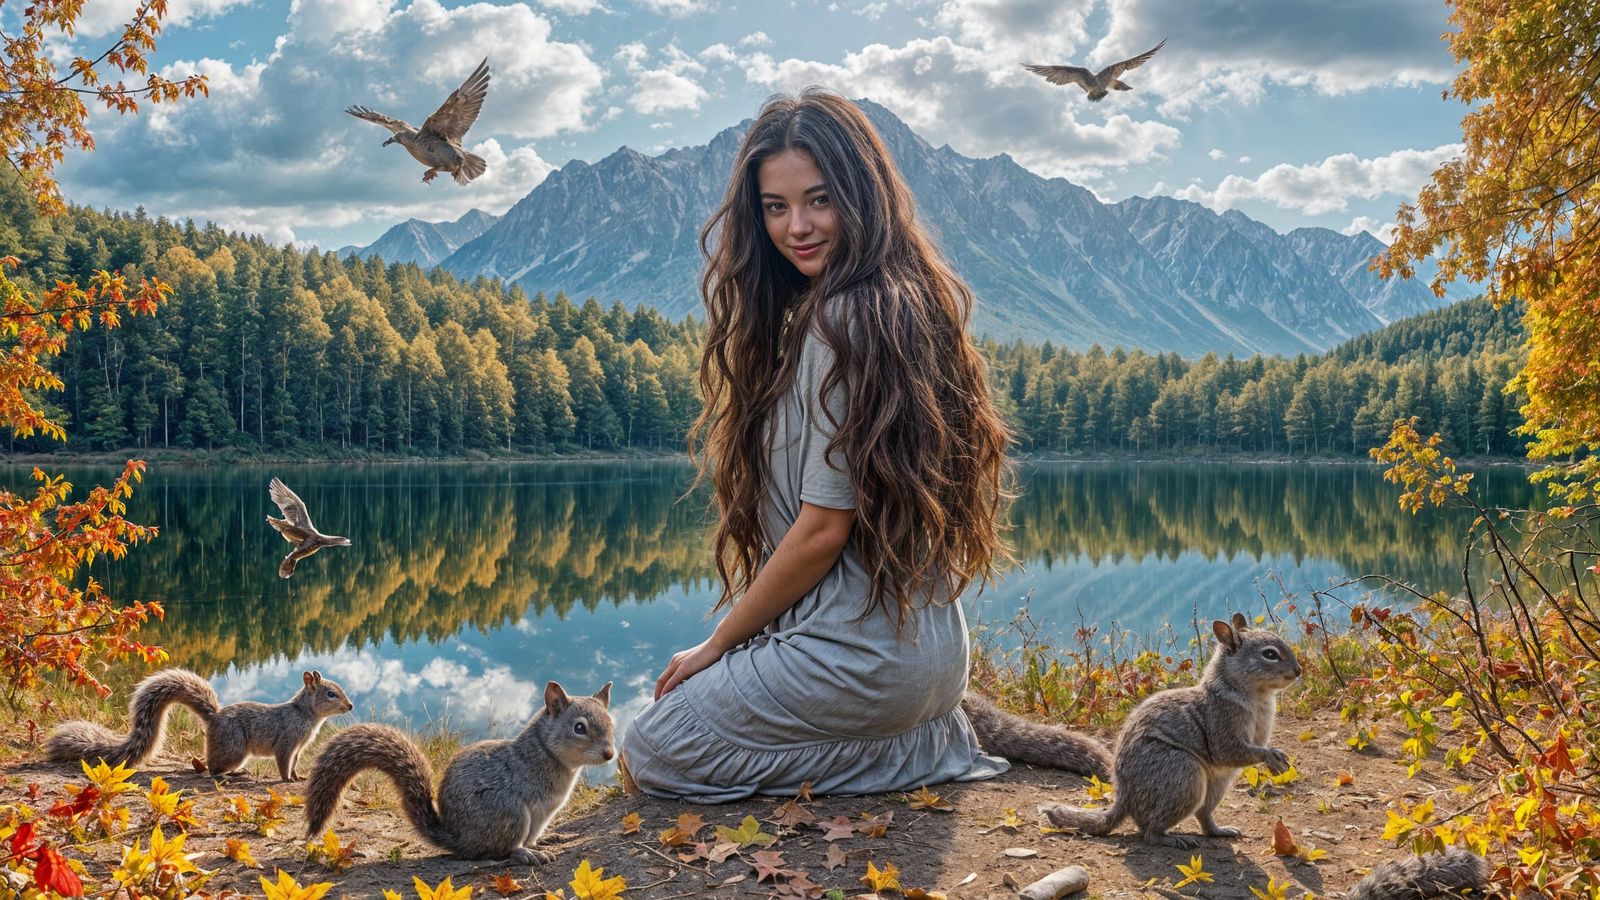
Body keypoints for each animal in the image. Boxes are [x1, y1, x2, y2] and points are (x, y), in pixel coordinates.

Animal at [45, 669, 354, 780]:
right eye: (331, 694)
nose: (350, 706)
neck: (305, 715)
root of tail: (214, 718)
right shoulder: (287, 742)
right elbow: (283, 763)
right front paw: (287, 779)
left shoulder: (299, 748)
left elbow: (295, 763)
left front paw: (297, 777)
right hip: (235, 749)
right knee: (212, 768)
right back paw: (230, 776)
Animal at [303, 681, 615, 864]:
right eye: (579, 728)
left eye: (611, 721)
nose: (610, 754)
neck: (547, 753)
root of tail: (461, 840)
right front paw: (528, 850)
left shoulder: (545, 813)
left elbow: (536, 833)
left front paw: (544, 840)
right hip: (509, 812)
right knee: (498, 849)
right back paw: (524, 853)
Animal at [1039, 613, 1301, 848]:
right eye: (1270, 654)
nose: (1298, 671)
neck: (1253, 696)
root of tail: (1125, 798)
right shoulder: (1222, 724)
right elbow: (1232, 751)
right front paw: (1271, 757)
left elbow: (1258, 746)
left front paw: (1277, 756)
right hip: (1183, 777)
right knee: (1150, 833)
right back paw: (1172, 839)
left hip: (1215, 786)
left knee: (1202, 816)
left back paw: (1220, 831)